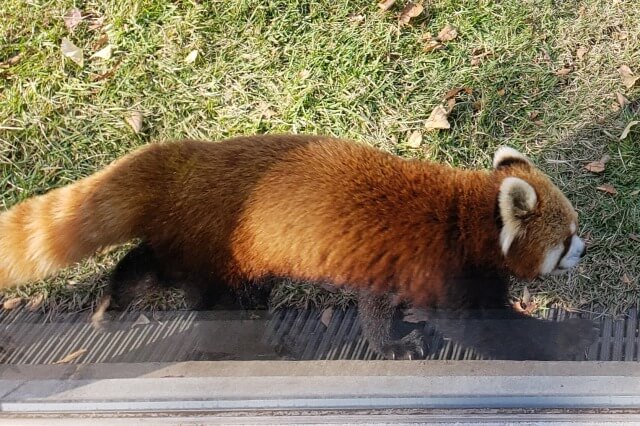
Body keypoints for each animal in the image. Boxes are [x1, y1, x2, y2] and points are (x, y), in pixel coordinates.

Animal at [0, 136, 596, 360]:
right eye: (566, 238)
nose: (585, 250)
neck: (467, 215)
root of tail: (190, 161)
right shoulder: (445, 264)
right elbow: (482, 326)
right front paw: (568, 337)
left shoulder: (387, 266)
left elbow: (378, 304)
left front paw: (392, 333)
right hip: (219, 251)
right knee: (224, 305)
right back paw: (250, 347)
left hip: (197, 244)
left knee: (151, 265)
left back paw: (113, 303)